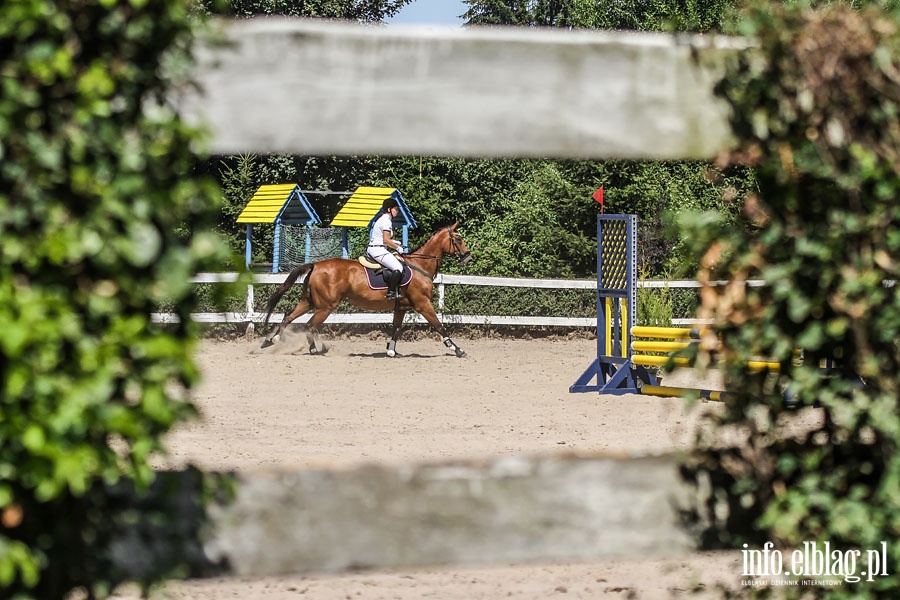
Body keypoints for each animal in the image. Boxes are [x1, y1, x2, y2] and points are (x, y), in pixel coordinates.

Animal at [258, 224, 472, 356]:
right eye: (458, 239)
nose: (468, 258)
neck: (420, 266)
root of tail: (317, 265)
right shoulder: (422, 304)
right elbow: (439, 325)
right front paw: (457, 349)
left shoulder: (401, 307)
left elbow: (396, 328)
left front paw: (391, 351)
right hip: (326, 306)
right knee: (310, 325)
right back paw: (312, 350)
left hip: (309, 301)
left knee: (289, 316)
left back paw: (271, 340)